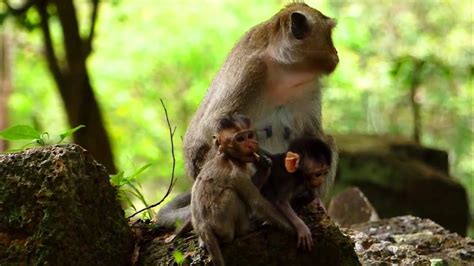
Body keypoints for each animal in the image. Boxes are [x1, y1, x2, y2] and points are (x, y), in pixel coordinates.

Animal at [157, 2, 338, 229]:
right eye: (329, 34)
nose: (335, 53)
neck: (284, 69)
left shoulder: (309, 85)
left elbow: (314, 135)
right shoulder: (251, 70)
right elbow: (212, 124)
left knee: (327, 141)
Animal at [192, 113, 294, 264]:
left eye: (250, 136)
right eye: (240, 139)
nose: (251, 144)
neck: (230, 157)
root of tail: (203, 227)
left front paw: (264, 165)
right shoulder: (236, 174)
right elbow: (257, 203)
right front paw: (293, 229)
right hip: (221, 223)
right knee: (232, 195)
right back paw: (243, 231)